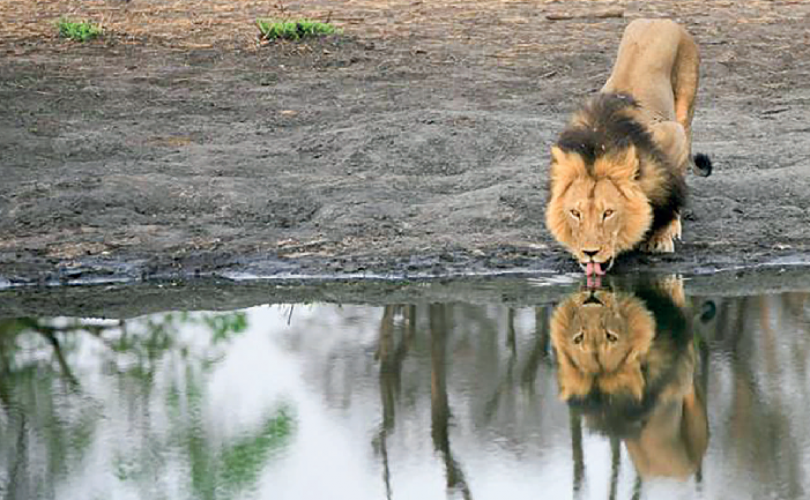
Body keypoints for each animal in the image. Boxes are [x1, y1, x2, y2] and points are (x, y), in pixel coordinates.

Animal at [548, 19, 712, 276]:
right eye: (576, 213)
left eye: (608, 213)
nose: (589, 252)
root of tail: (660, 19)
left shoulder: (672, 135)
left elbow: (672, 184)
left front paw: (661, 237)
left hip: (686, 102)